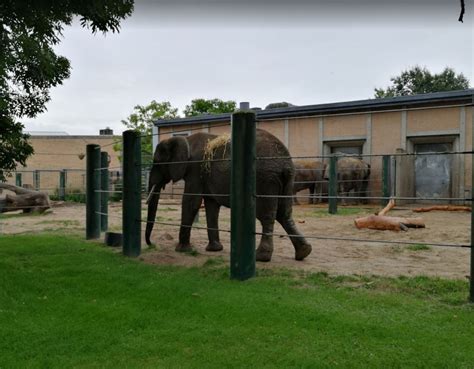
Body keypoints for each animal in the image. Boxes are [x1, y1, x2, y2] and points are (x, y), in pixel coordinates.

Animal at [146, 129, 312, 262]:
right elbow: (211, 205)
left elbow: (191, 201)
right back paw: (303, 253)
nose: (151, 244)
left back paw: (261, 257)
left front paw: (182, 250)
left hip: (265, 179)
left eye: (157, 162)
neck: (186, 140)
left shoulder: (195, 169)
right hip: (287, 179)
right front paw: (214, 249)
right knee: (284, 214)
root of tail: (284, 162)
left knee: (267, 216)